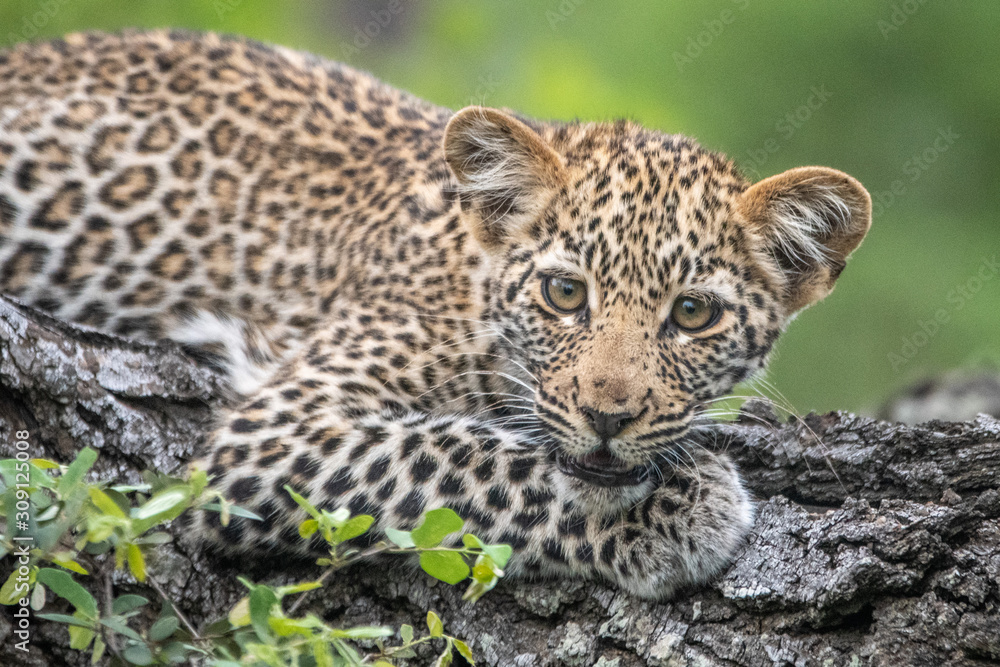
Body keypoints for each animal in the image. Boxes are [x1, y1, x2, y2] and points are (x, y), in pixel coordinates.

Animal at [0, 30, 871, 599]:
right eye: (564, 294)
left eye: (692, 313)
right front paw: (678, 511)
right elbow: (462, 455)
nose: (608, 416)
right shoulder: (278, 430)